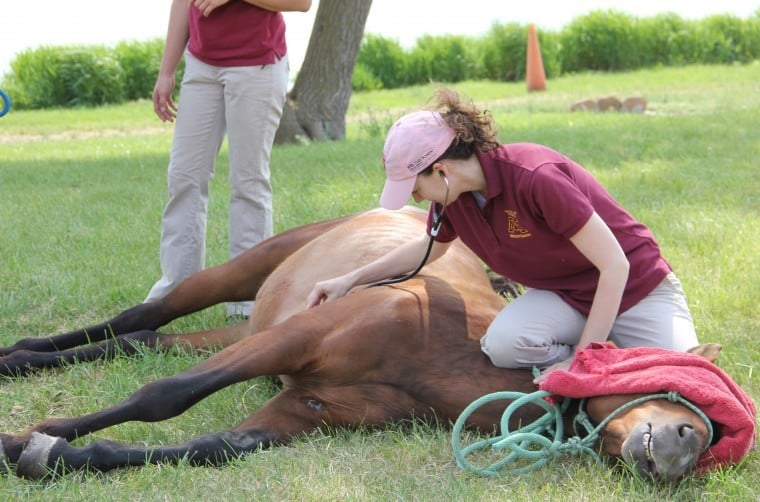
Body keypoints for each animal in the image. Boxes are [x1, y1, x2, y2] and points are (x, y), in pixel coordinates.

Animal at [0, 207, 714, 480]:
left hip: (247, 325)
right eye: (676, 390)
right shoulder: (297, 339)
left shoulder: (306, 408)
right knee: (144, 313)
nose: (687, 446)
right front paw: (23, 439)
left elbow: (214, 445)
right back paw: (18, 355)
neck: (456, 348)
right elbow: (165, 398)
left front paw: (51, 453)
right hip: (248, 275)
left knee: (143, 338)